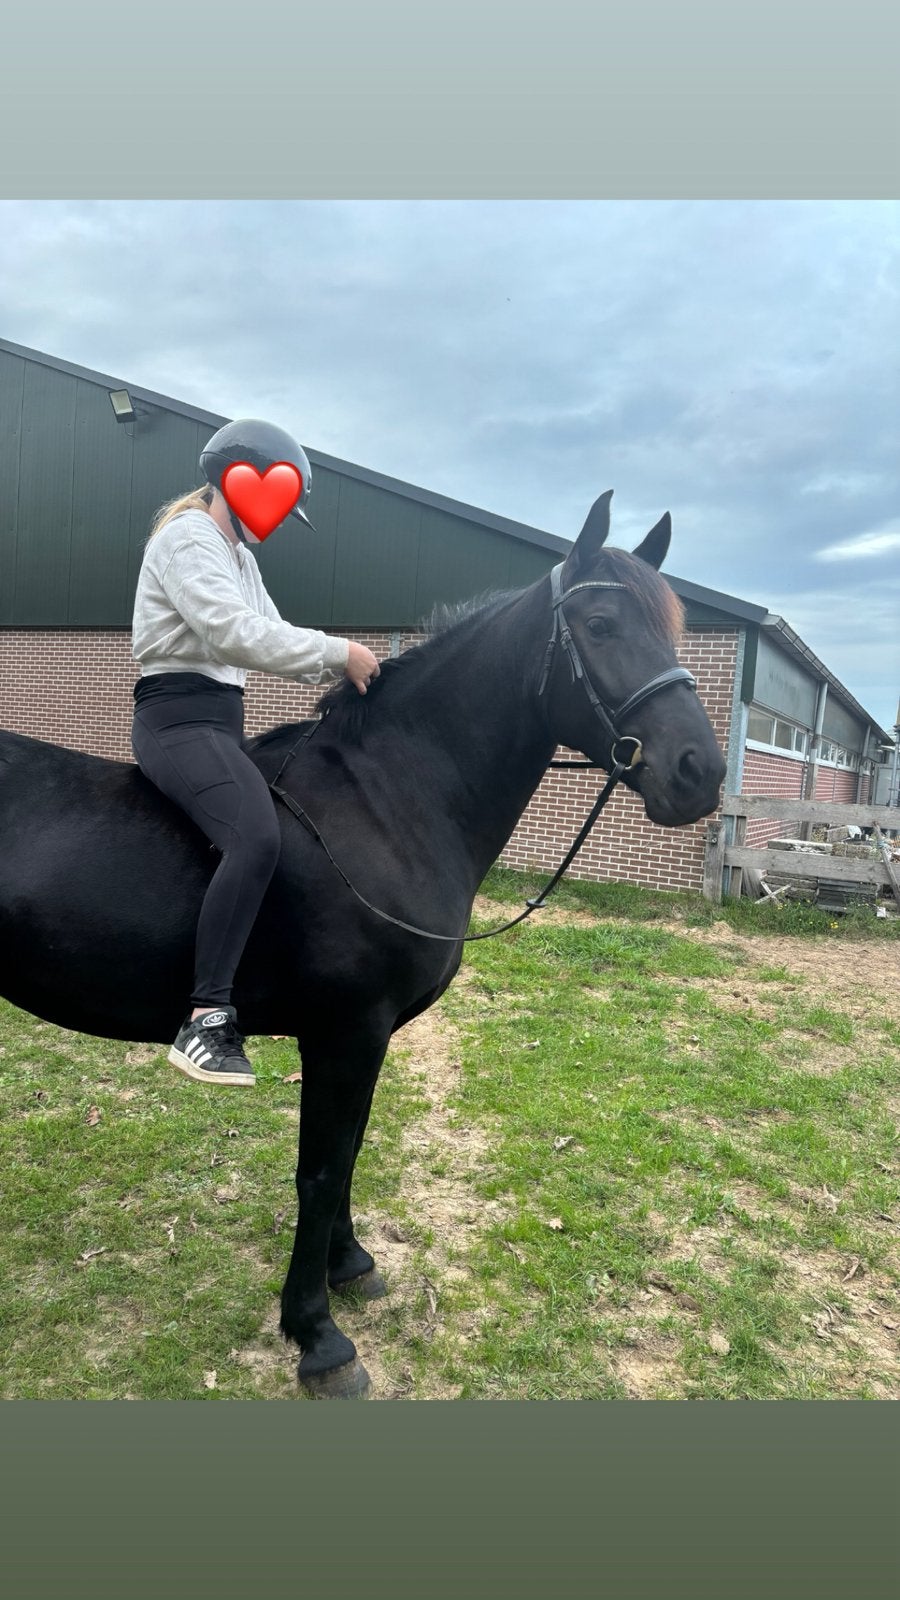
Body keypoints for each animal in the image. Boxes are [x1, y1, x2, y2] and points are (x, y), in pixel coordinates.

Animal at [0, 491, 726, 1397]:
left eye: (672, 629)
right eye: (599, 624)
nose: (702, 772)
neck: (388, 801)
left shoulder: (370, 1037)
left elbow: (348, 1154)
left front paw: (349, 1267)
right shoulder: (344, 1033)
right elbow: (319, 1169)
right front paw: (317, 1336)